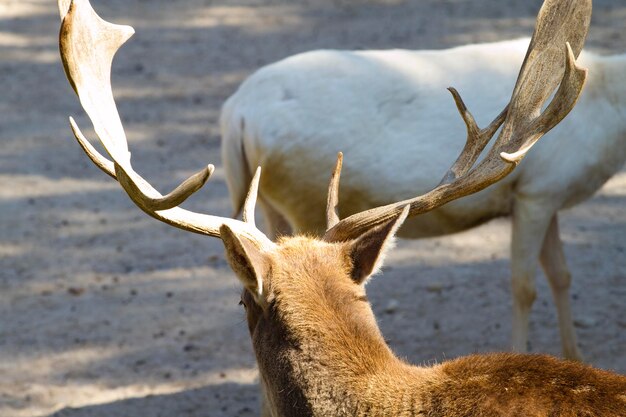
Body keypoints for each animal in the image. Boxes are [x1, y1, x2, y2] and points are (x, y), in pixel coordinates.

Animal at [218, 10, 624, 364]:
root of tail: (235, 113)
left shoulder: (549, 197)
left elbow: (561, 275)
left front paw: (576, 357)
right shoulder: (536, 191)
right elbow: (524, 286)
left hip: (271, 204)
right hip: (300, 198)